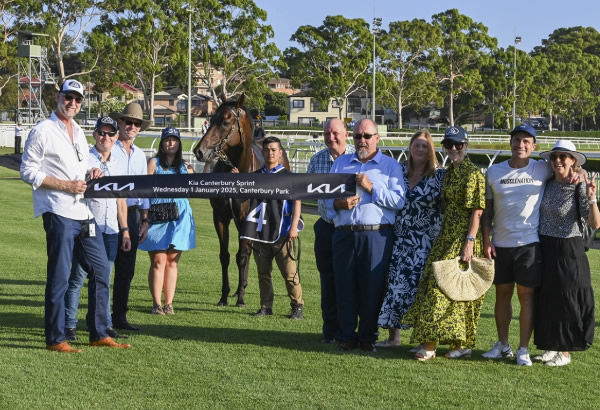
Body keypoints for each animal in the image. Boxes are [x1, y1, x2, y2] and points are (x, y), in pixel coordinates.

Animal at [191, 97, 288, 308]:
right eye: (211, 119)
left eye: (226, 122)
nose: (199, 151)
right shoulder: (220, 217)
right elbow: (225, 256)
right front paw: (224, 295)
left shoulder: (246, 219)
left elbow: (242, 257)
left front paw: (242, 298)